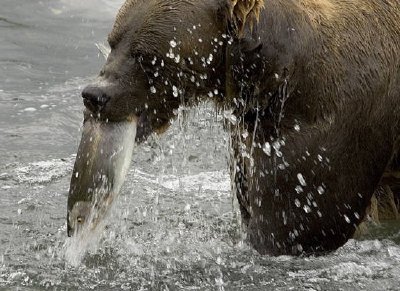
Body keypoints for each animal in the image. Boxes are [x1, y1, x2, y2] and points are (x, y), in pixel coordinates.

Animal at [67, 0, 400, 256]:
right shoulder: (250, 137)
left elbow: (296, 224)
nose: (95, 95)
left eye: (146, 56)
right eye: (113, 41)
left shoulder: (330, 124)